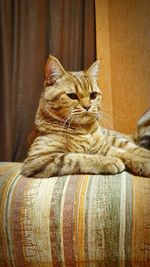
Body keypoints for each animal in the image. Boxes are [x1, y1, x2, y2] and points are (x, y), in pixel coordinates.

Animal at [21, 55, 150, 178]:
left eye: (93, 95)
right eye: (72, 96)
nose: (87, 106)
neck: (84, 130)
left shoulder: (102, 147)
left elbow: (123, 152)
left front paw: (140, 161)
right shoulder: (39, 158)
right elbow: (79, 157)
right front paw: (109, 161)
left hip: (114, 138)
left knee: (133, 147)